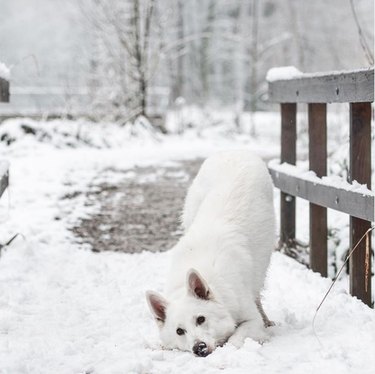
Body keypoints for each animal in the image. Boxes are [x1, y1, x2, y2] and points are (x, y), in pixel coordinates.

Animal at [147, 150, 276, 356]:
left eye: (201, 319)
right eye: (179, 331)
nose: (198, 348)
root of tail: (233, 152)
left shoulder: (251, 320)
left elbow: (236, 338)